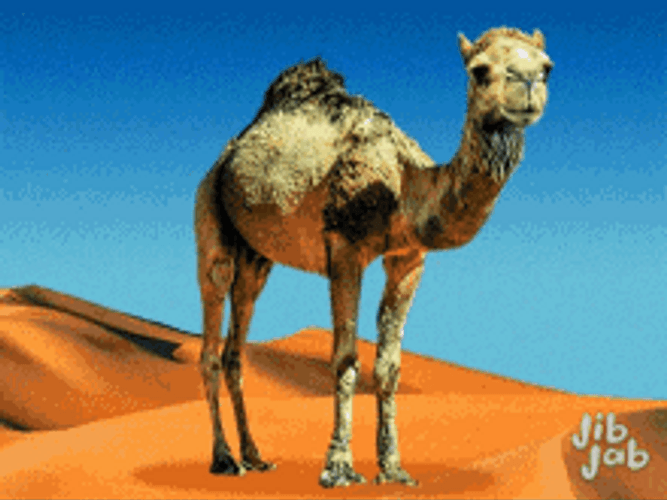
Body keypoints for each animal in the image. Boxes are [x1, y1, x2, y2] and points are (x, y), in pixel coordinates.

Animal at [194, 27, 553, 488]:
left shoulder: (408, 259)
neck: (404, 185)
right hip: (210, 210)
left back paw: (254, 456)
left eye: (547, 67)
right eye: (478, 70)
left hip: (257, 255)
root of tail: (228, 152)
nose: (527, 83)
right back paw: (223, 459)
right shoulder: (345, 248)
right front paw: (338, 466)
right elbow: (346, 358)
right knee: (212, 319)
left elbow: (389, 367)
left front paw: (394, 467)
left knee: (237, 339)